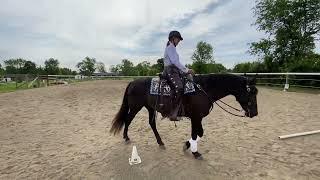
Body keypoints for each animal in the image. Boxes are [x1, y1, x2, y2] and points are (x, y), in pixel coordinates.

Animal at [110, 74, 258, 160]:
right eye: (251, 92)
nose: (255, 113)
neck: (204, 89)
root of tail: (132, 82)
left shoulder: (198, 117)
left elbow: (200, 133)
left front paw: (187, 145)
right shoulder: (195, 117)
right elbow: (195, 133)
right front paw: (195, 152)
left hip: (150, 107)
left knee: (151, 123)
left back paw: (160, 142)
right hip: (136, 107)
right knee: (128, 120)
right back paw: (126, 137)